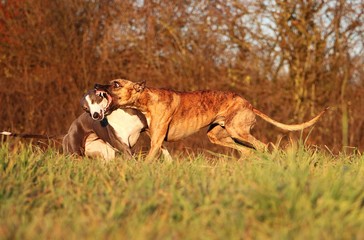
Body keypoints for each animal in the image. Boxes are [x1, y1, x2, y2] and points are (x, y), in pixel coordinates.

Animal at [94, 79, 328, 161]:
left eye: (116, 84)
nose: (96, 86)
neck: (147, 99)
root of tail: (249, 104)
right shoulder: (158, 140)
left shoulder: (157, 141)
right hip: (217, 135)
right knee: (247, 150)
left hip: (236, 130)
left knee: (262, 146)